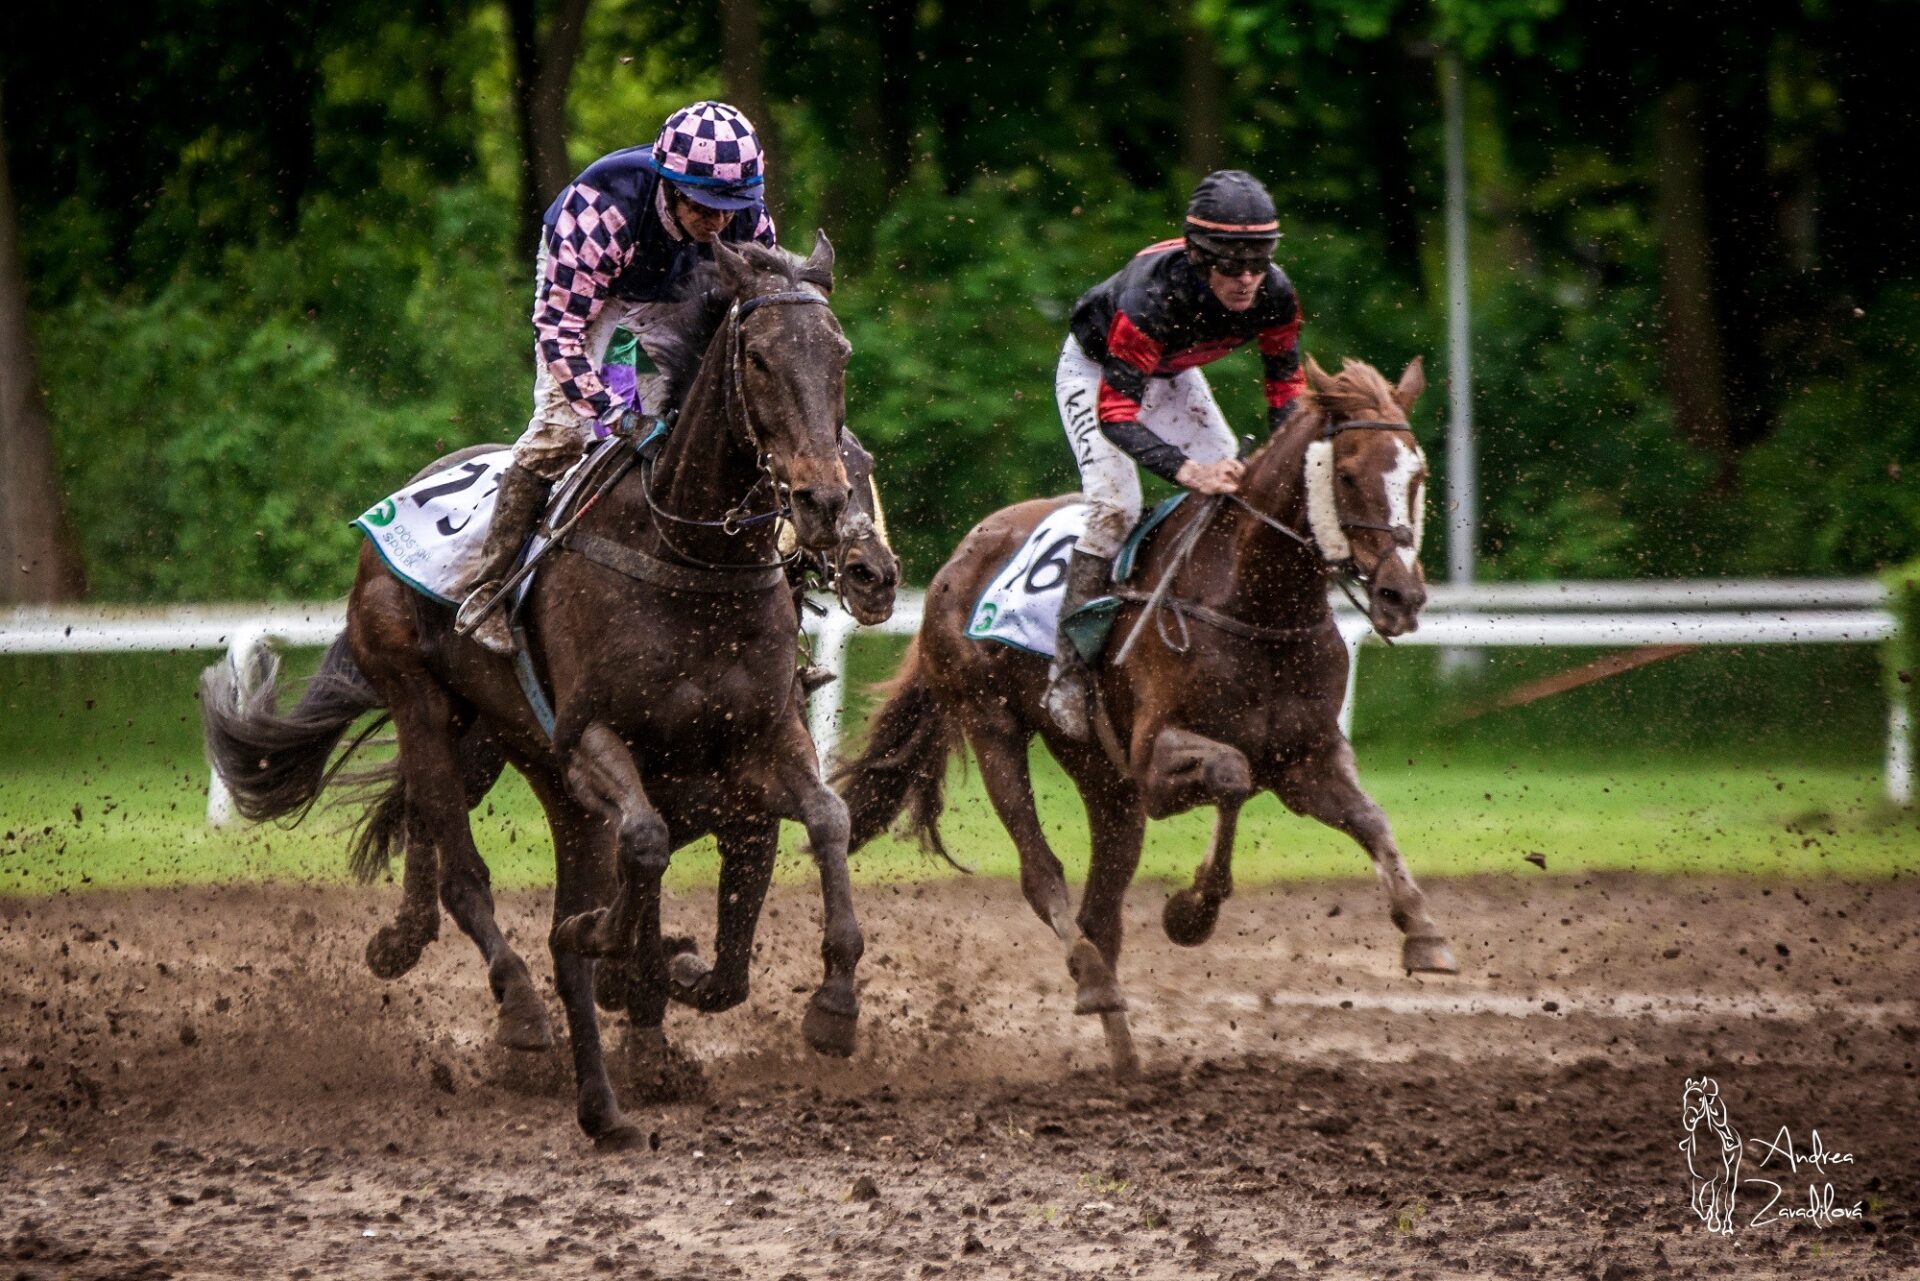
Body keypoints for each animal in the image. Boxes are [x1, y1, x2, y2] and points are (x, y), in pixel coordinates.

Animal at [206, 235, 867, 1144]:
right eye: (761, 359)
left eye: (839, 356)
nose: (823, 499)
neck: (689, 555)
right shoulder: (591, 738)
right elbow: (646, 844)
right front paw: (617, 951)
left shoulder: (761, 740)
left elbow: (825, 823)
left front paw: (830, 1000)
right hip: (421, 697)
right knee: (461, 864)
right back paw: (521, 1004)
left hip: (495, 740)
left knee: (432, 822)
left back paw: (410, 939)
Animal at [837, 355, 1451, 1075]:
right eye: (1349, 473)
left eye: (1418, 474)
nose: (1402, 596)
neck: (1254, 606)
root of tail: (960, 555)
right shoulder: (1156, 764)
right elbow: (1233, 774)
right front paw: (1192, 911)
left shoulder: (1305, 757)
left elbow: (1369, 819)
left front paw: (1424, 932)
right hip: (992, 723)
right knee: (1042, 873)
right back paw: (1091, 977)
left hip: (1102, 776)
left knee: (1103, 910)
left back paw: (1123, 1049)